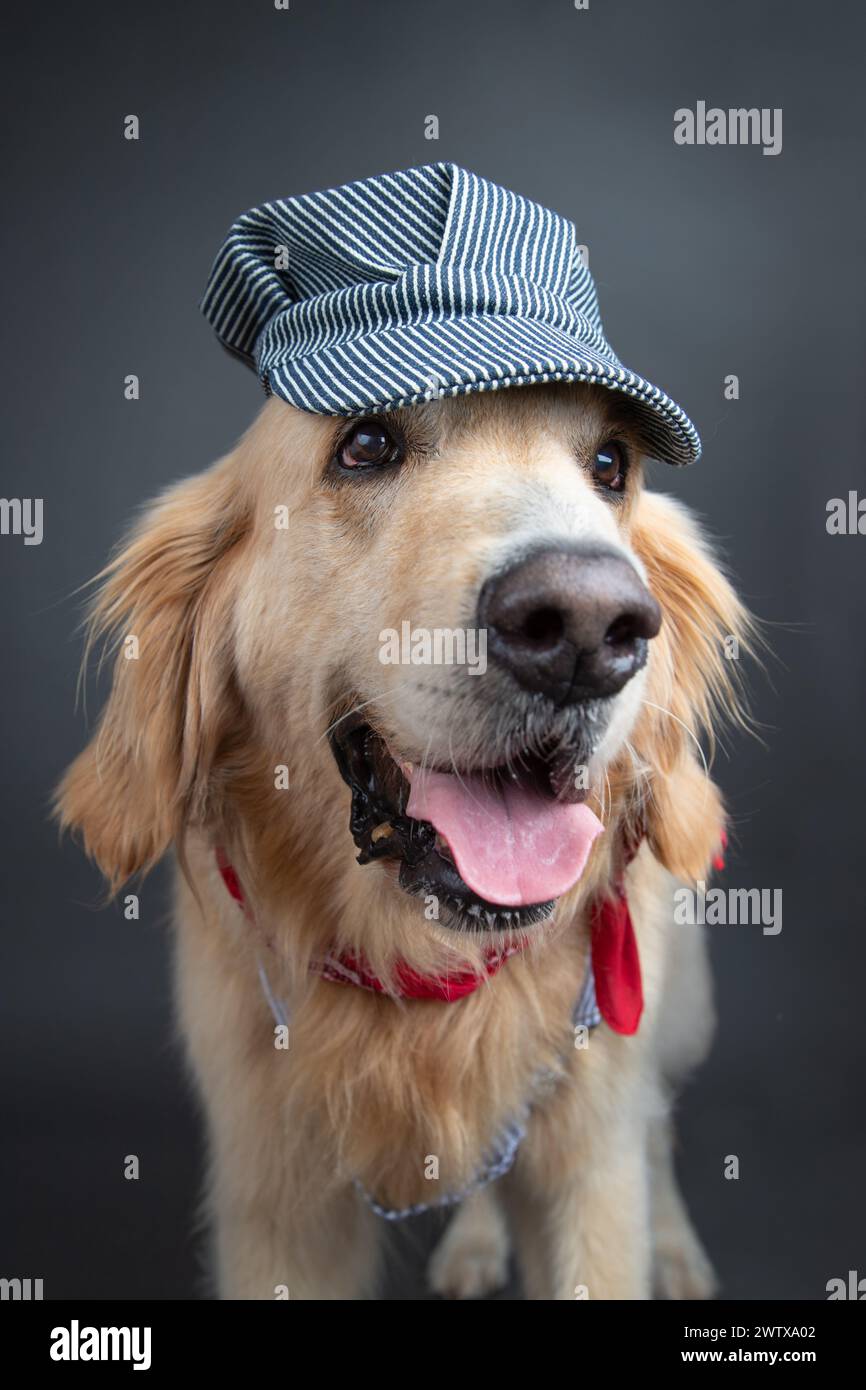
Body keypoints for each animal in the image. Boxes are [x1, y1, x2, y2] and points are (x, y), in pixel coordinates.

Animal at [57, 375, 750, 1295]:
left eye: (611, 464)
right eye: (365, 445)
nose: (585, 624)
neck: (424, 978)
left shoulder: (590, 1167)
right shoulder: (277, 1201)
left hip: (678, 1012)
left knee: (657, 1125)